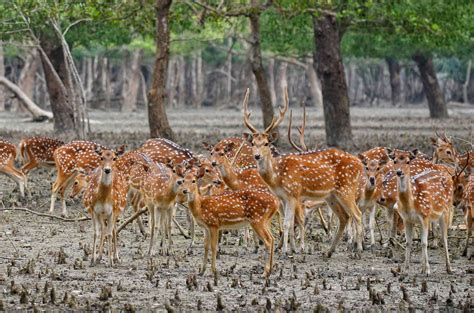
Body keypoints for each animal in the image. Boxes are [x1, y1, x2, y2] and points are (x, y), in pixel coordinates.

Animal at [243, 88, 364, 256]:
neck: (277, 177)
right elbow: (288, 222)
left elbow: (287, 223)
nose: (257, 156)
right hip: (332, 196)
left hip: (347, 189)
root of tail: (359, 164)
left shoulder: (293, 193)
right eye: (253, 143)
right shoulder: (283, 197)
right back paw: (329, 252)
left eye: (266, 143)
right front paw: (290, 249)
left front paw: (286, 251)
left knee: (357, 215)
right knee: (345, 217)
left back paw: (357, 250)